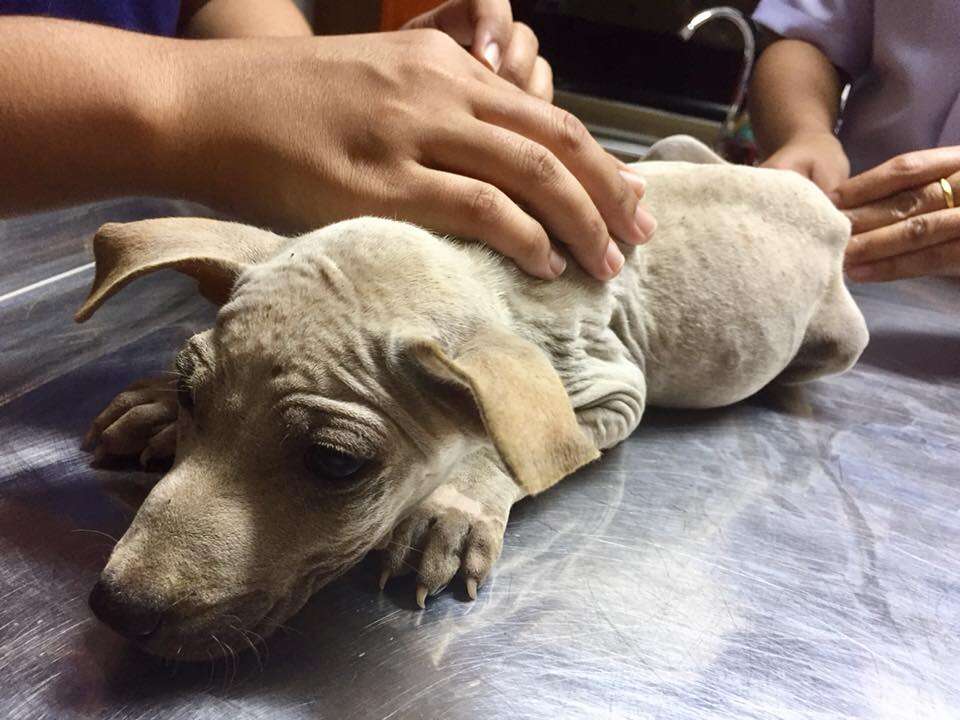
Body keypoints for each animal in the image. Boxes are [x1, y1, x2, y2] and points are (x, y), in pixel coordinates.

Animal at [77, 135, 872, 660]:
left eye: (336, 464)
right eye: (193, 394)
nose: (118, 609)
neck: (486, 268)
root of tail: (827, 206)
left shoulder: (612, 392)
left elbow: (507, 447)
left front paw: (450, 511)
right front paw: (154, 406)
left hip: (839, 338)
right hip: (671, 153)